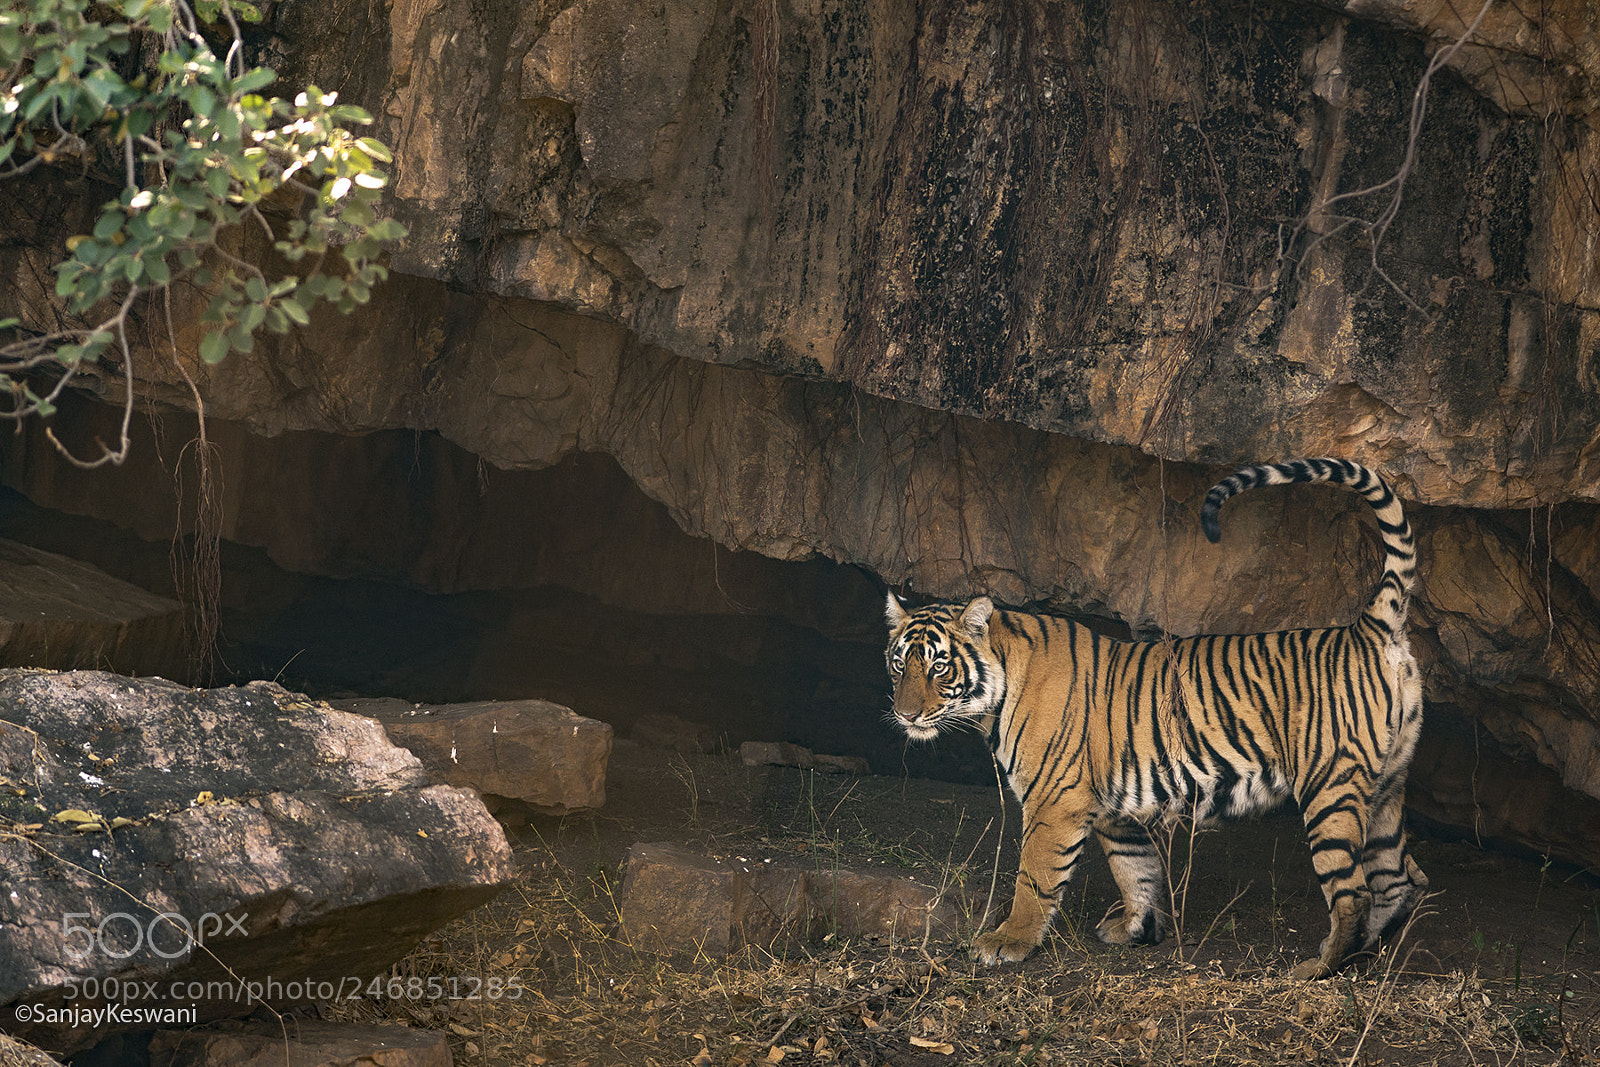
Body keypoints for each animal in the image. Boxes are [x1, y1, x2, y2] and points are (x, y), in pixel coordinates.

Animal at [884, 457, 1427, 980]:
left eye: (938, 665)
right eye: (898, 663)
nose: (905, 714)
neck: (994, 698)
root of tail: (1368, 627)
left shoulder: (1054, 800)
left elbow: (1035, 877)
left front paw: (1008, 942)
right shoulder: (1114, 809)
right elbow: (1136, 871)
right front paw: (1136, 928)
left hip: (1328, 788)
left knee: (1354, 891)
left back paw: (1321, 966)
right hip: (1386, 784)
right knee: (1397, 882)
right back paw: (1364, 955)